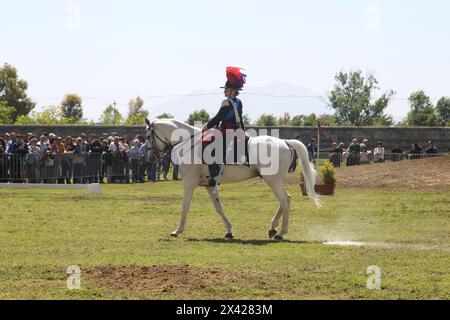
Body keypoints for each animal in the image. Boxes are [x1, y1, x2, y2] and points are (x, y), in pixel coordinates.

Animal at [146, 119, 322, 241]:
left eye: (148, 136)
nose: (151, 158)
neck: (190, 144)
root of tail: (285, 142)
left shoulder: (189, 184)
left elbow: (185, 207)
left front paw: (177, 230)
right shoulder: (209, 186)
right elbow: (219, 208)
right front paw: (229, 231)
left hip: (272, 180)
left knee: (284, 200)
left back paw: (280, 233)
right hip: (275, 180)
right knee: (286, 200)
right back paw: (273, 228)